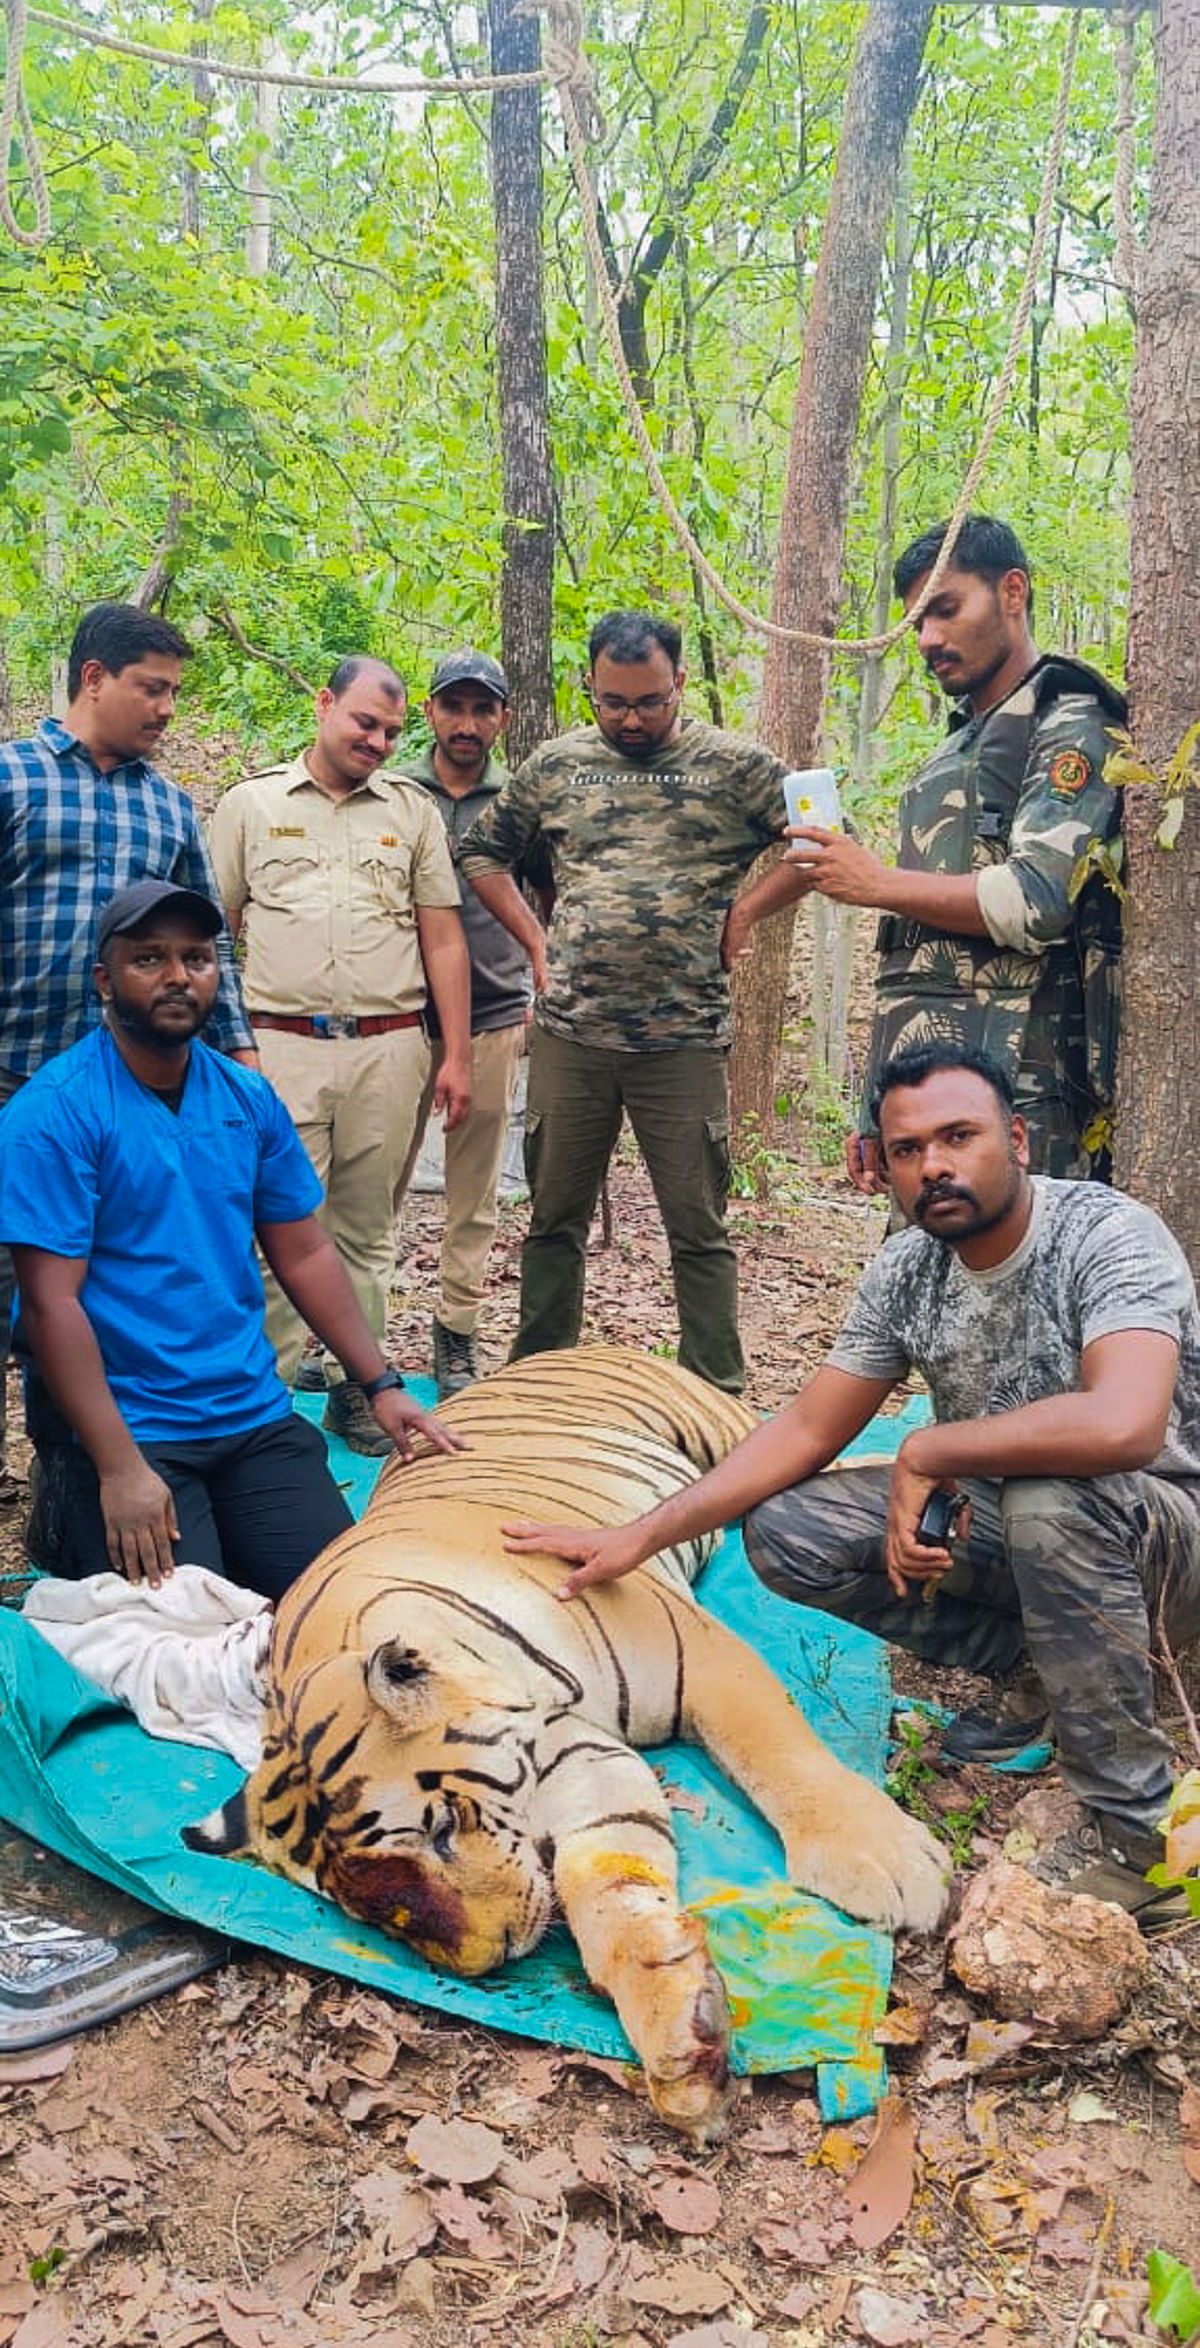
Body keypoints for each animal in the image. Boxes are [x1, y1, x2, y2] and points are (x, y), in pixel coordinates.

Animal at [187, 1352, 953, 2141]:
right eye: (368, 1914)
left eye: (440, 1829)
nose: (491, 1956)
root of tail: (549, 1352)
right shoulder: (576, 1756)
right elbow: (610, 1875)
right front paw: (679, 2033)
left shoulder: (698, 1657)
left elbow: (776, 1751)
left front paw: (886, 1863)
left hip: (719, 1424)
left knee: (795, 1449)